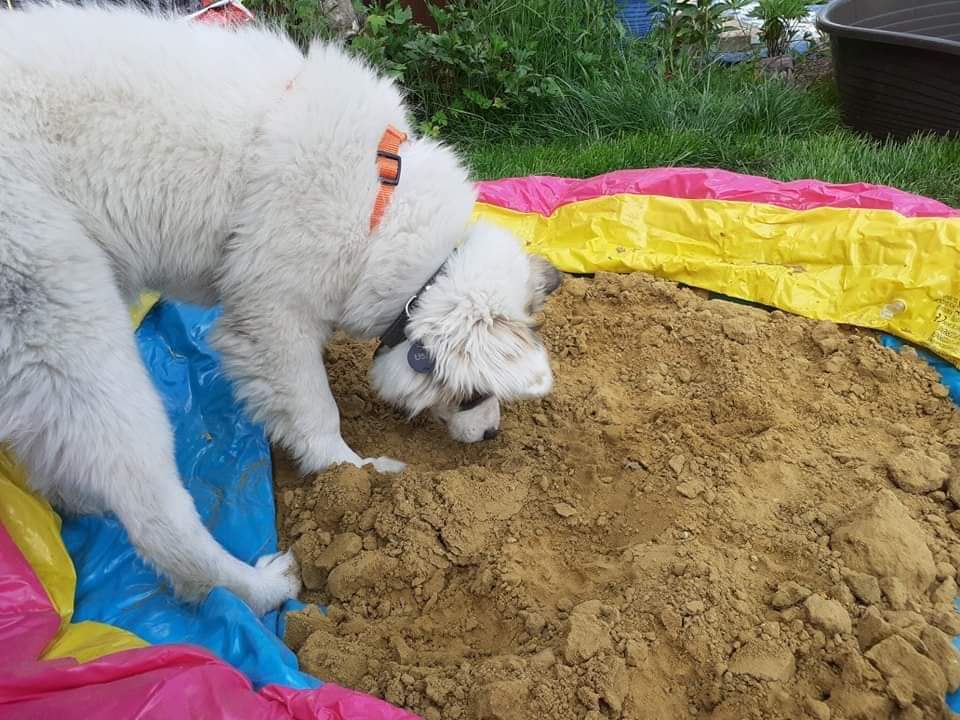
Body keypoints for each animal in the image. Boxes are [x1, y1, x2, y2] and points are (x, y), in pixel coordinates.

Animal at [0, 4, 560, 612]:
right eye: (476, 394)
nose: (491, 437)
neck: (381, 205)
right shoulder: (273, 316)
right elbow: (317, 411)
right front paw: (355, 479)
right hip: (75, 329)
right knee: (154, 517)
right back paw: (260, 587)